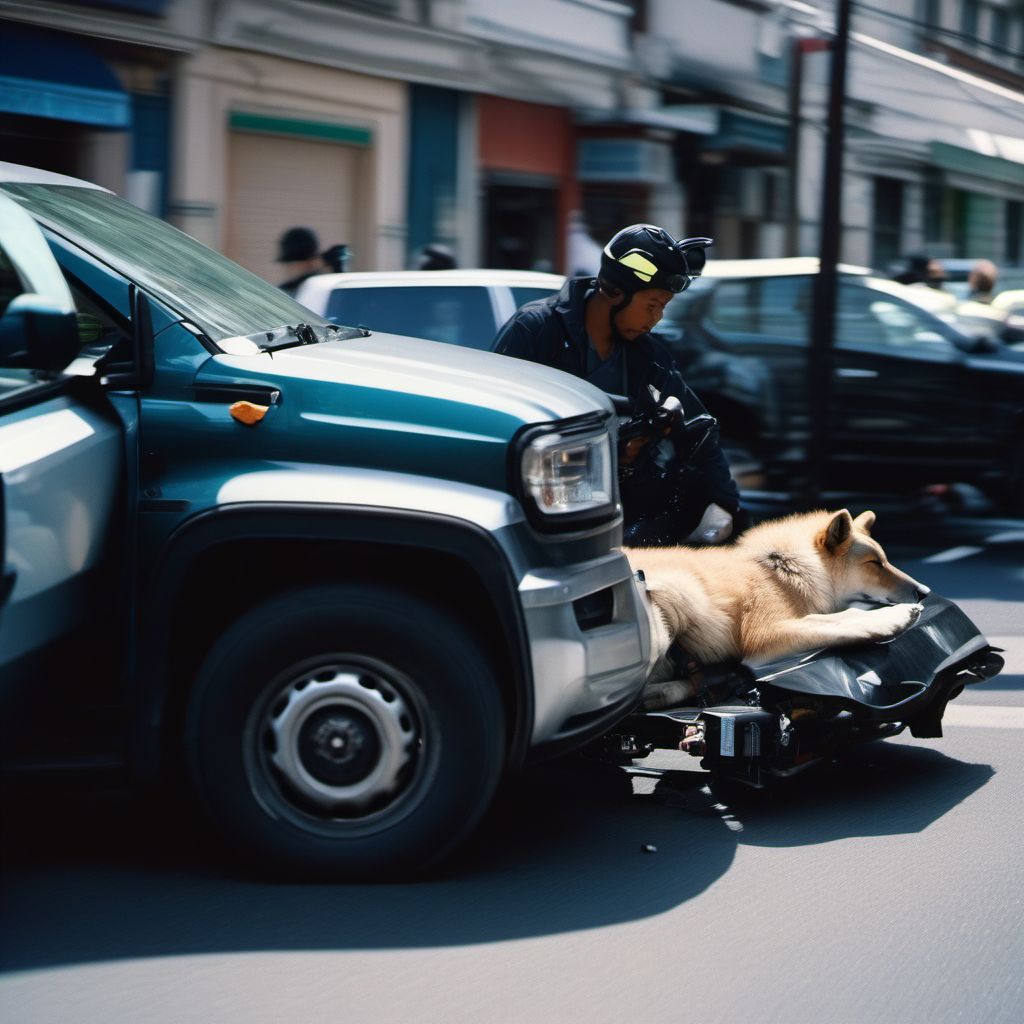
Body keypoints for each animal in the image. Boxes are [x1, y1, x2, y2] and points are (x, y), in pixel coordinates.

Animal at [626, 509, 933, 708]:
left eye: (886, 560)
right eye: (874, 563)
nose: (925, 592)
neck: (783, 569)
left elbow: (839, 617)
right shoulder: (765, 633)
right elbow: (843, 619)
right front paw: (897, 616)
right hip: (677, 590)